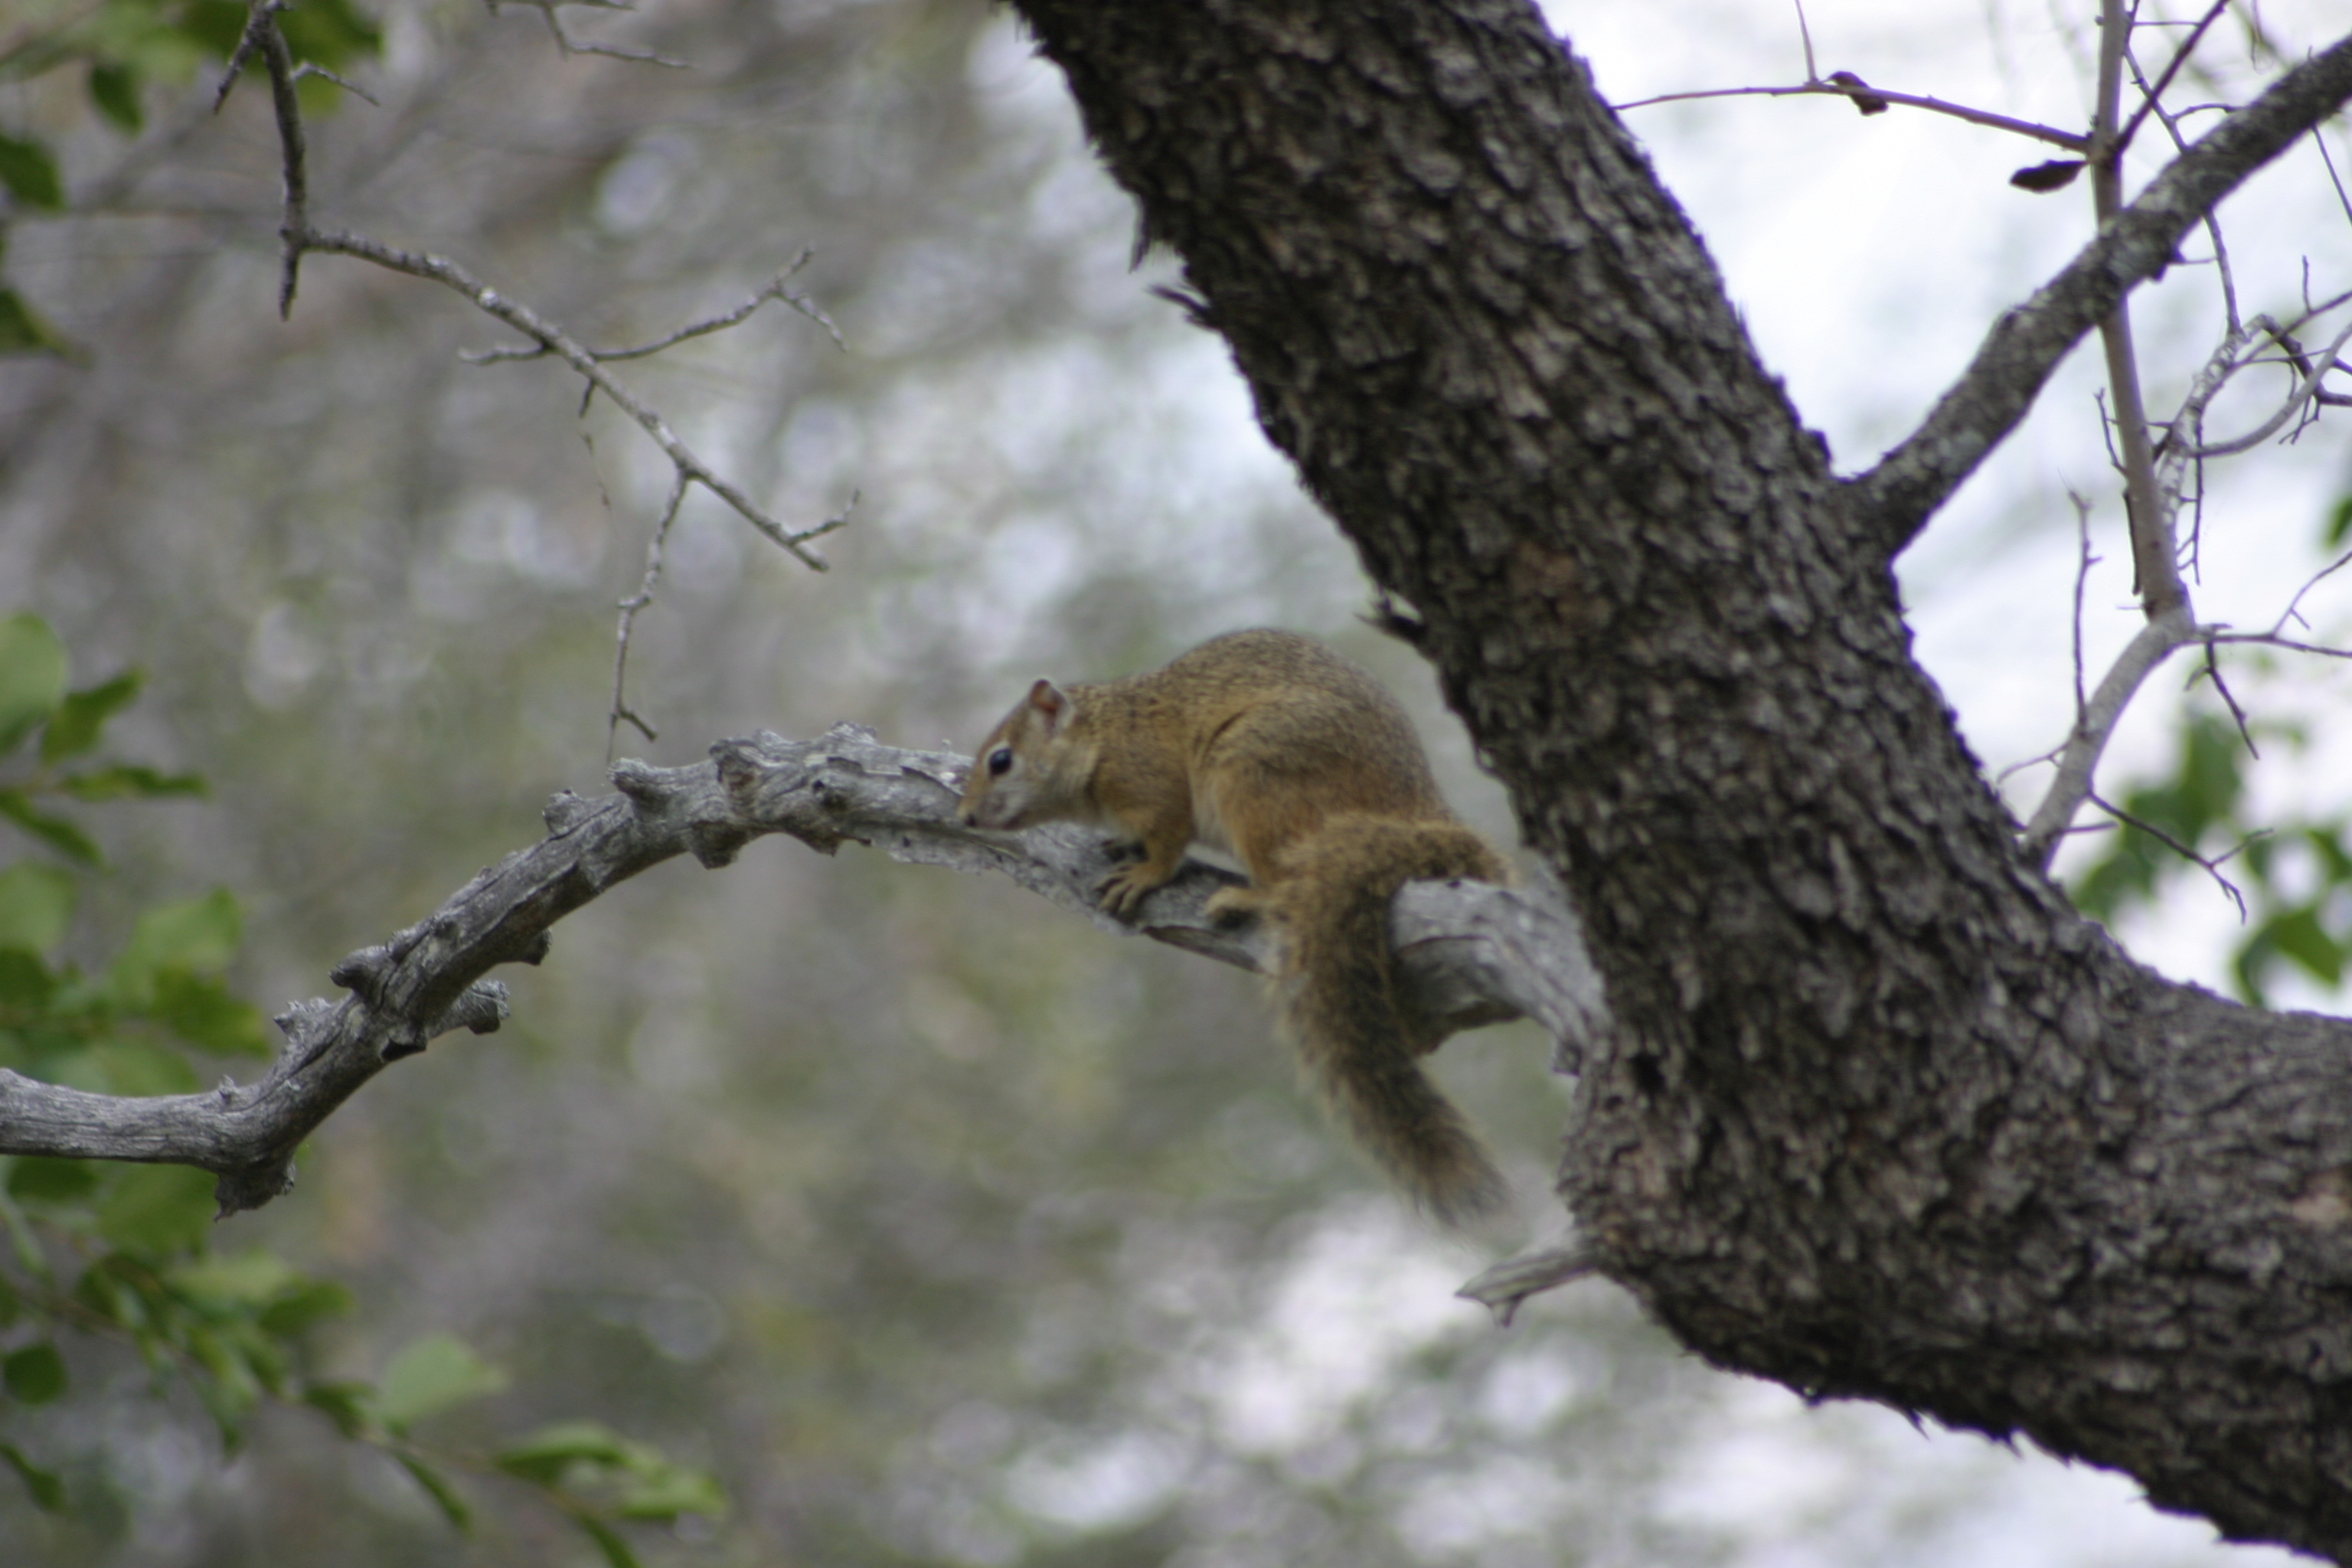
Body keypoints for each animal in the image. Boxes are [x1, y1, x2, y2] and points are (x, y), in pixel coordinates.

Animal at [964, 629, 1514, 1222]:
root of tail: (1412, 809)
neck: (1102, 736)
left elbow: (1168, 837)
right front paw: (1118, 844)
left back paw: (1247, 896)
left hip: (1255, 772)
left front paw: (1144, 874)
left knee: (1281, 879)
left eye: (1001, 760)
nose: (964, 817)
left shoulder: (1153, 784)